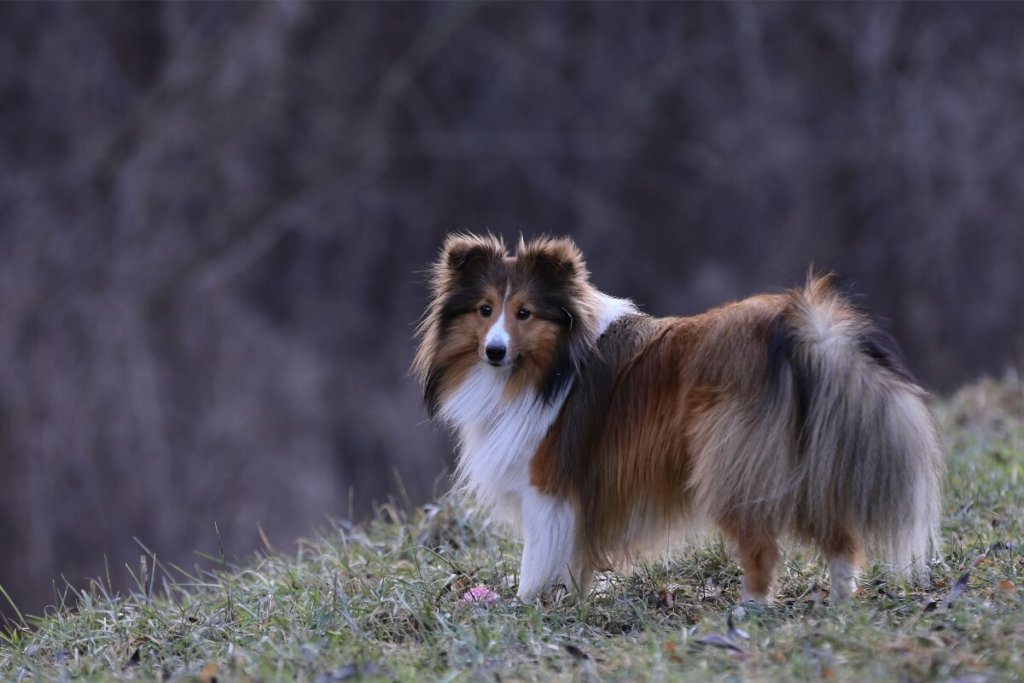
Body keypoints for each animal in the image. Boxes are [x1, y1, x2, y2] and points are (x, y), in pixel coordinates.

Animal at [411, 233, 937, 602]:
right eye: (485, 310)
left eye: (524, 313)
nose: (494, 351)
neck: (549, 367)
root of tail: (797, 328)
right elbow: (573, 562)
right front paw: (570, 601)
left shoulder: (547, 490)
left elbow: (535, 562)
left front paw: (527, 608)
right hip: (796, 463)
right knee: (841, 539)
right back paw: (840, 604)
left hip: (730, 467)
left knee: (763, 550)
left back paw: (748, 612)